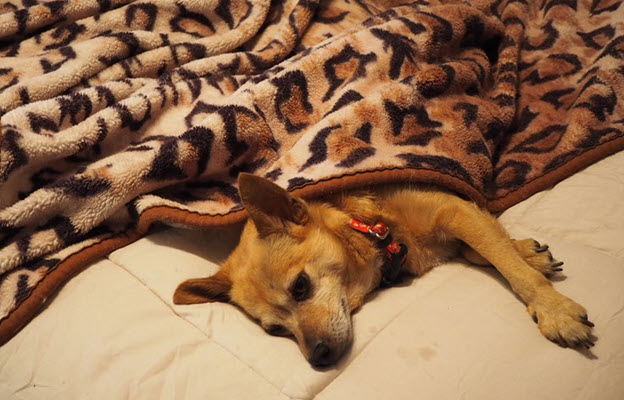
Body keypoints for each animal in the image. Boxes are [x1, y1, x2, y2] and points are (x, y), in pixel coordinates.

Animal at [174, 173, 596, 368]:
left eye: (300, 287)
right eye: (276, 331)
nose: (318, 357)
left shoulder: (454, 209)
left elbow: (509, 264)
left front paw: (553, 307)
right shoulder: (460, 214)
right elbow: (487, 249)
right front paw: (527, 252)